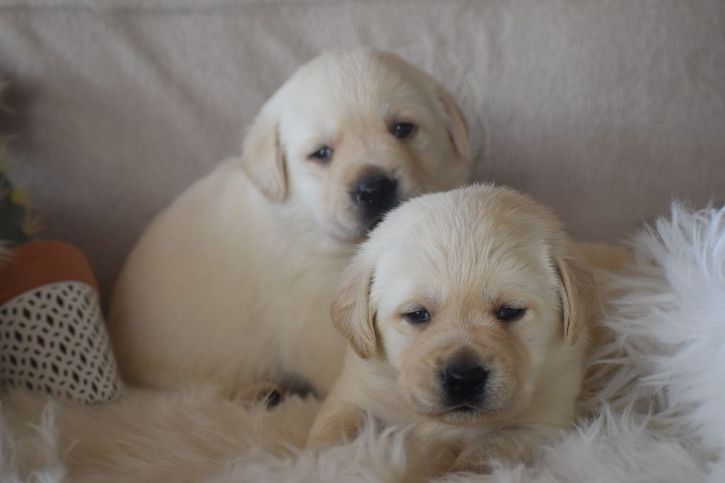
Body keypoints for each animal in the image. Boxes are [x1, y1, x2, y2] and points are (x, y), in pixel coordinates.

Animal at [306, 184, 600, 472]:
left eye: (510, 311)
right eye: (417, 314)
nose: (464, 377)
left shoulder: (543, 424)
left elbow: (489, 449)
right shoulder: (353, 395)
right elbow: (335, 432)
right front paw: (331, 464)